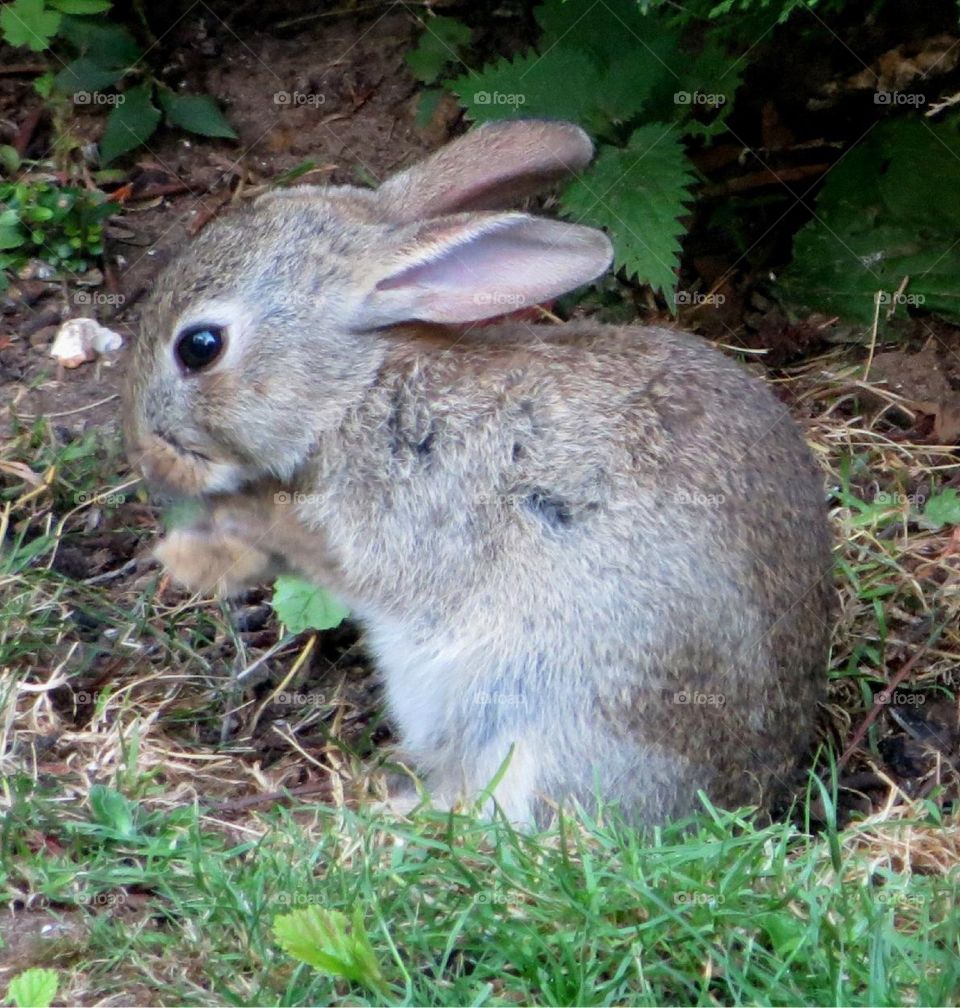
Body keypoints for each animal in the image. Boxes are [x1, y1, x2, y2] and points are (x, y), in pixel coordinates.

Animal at [125, 117, 830, 826]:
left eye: (200, 347)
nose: (149, 453)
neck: (358, 387)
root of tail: (746, 796)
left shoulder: (399, 511)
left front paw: (195, 551)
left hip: (542, 706)